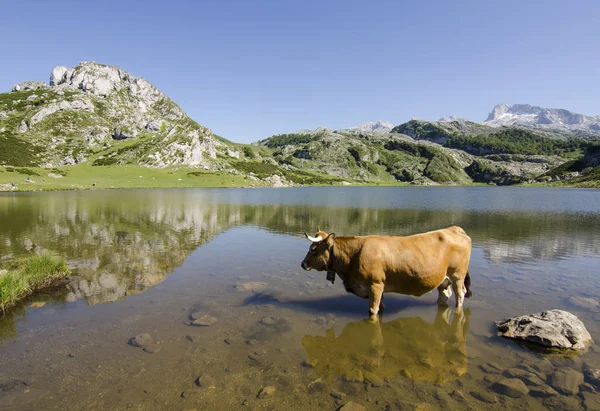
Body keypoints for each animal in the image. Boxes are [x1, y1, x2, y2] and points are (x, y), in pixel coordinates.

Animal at [300, 227, 474, 320]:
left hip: (458, 275)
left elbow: (373, 310)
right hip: (443, 278)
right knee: (444, 295)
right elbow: (381, 307)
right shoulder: (379, 287)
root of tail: (454, 228)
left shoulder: (375, 285)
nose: (303, 264)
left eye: (313, 249)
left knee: (460, 294)